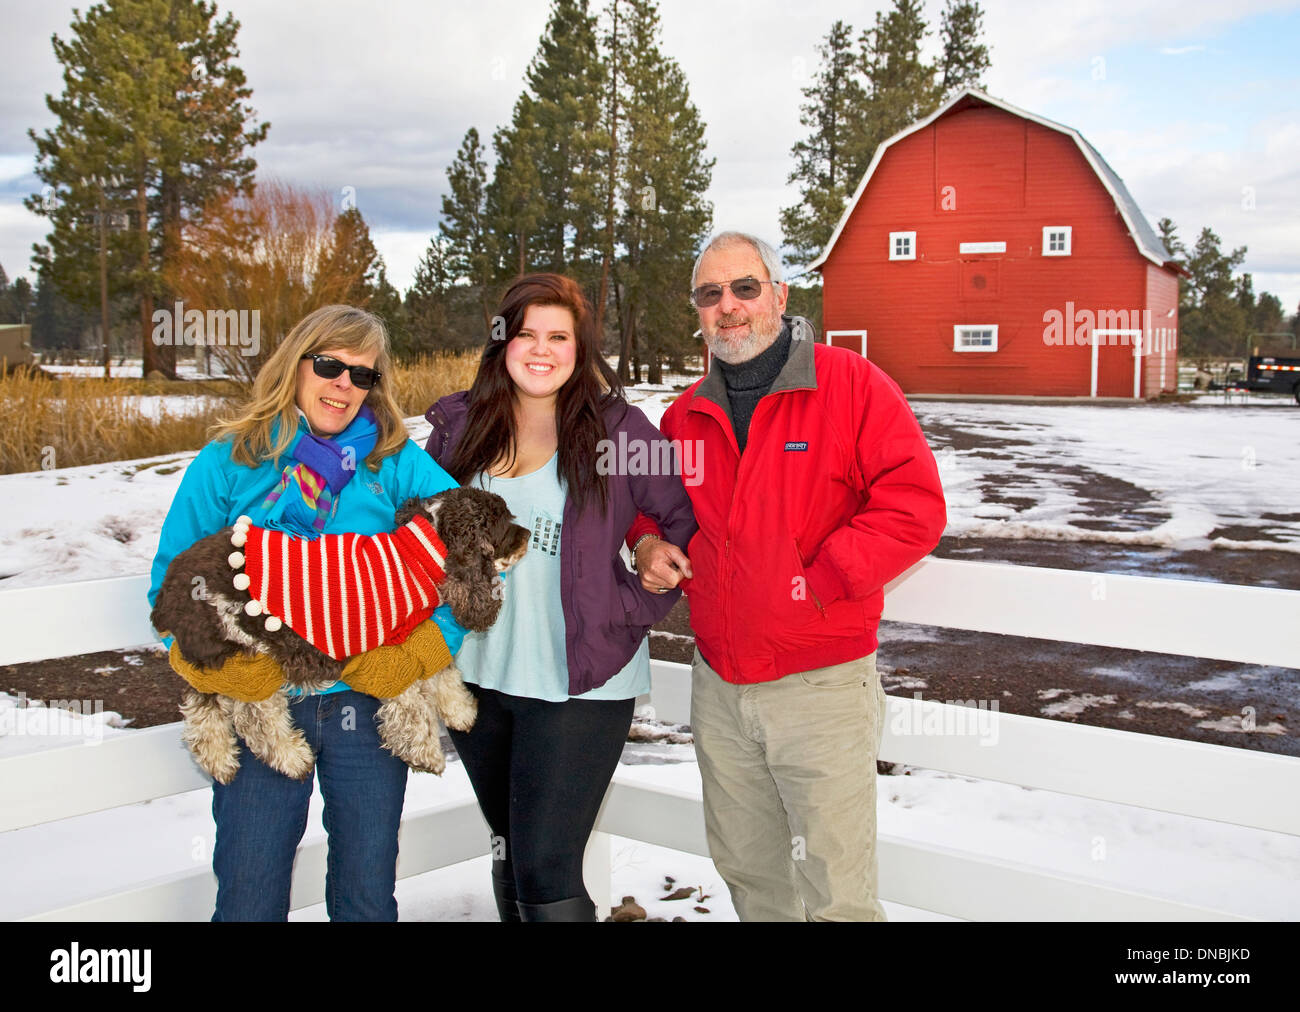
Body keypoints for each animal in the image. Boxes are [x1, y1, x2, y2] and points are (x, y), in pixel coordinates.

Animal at [154, 486, 530, 780]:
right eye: (502, 523)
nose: (528, 535)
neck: (417, 556)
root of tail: (168, 593)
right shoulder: (386, 651)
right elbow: (411, 706)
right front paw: (425, 754)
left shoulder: (413, 635)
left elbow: (441, 669)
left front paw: (461, 712)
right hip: (245, 648)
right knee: (253, 715)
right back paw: (293, 758)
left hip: (214, 657)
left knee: (201, 706)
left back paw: (219, 761)